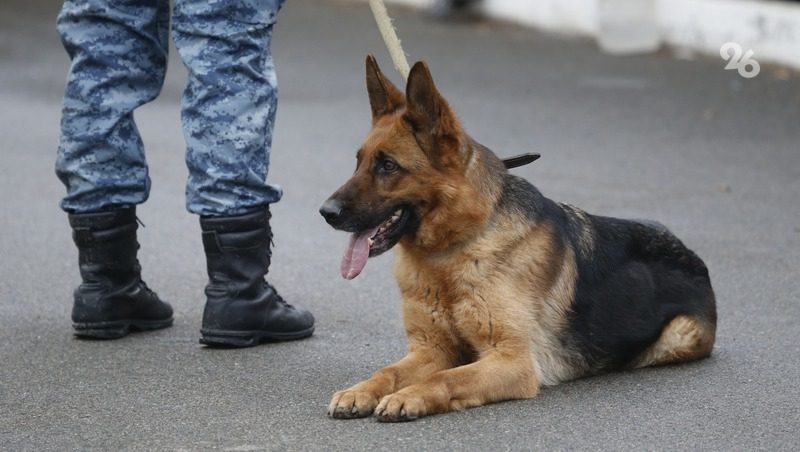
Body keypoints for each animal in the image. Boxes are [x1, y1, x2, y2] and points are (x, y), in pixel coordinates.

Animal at [320, 55, 720, 420]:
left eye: (388, 166)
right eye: (358, 161)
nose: (326, 212)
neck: (454, 251)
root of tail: (692, 256)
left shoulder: (511, 361)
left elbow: (447, 379)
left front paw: (410, 396)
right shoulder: (430, 350)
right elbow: (388, 371)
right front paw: (362, 390)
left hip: (676, 338)